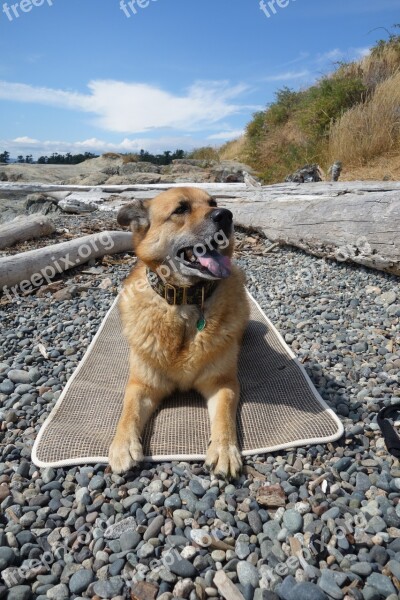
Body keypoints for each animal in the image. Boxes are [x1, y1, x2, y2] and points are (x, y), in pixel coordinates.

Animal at [108, 186, 248, 478]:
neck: (186, 301)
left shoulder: (223, 383)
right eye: (180, 209)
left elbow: (225, 416)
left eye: (213, 202)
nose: (226, 215)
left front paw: (224, 450)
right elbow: (129, 411)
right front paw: (123, 445)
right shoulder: (142, 384)